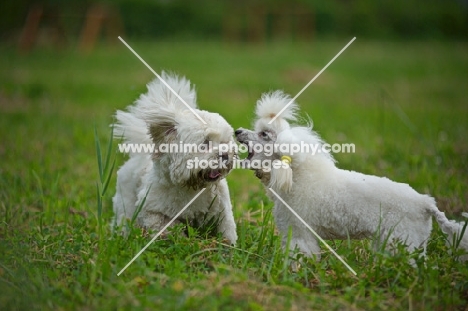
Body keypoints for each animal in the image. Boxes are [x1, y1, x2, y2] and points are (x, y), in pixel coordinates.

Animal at [111, 72, 238, 244]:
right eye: (205, 143)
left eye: (226, 143)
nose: (225, 154)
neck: (190, 187)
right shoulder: (151, 211)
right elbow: (166, 226)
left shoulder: (221, 209)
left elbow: (227, 228)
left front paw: (228, 245)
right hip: (126, 203)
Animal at [238, 91, 468, 262]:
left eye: (264, 134)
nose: (238, 131)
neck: (297, 177)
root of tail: (426, 203)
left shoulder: (300, 232)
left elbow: (301, 256)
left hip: (403, 241)